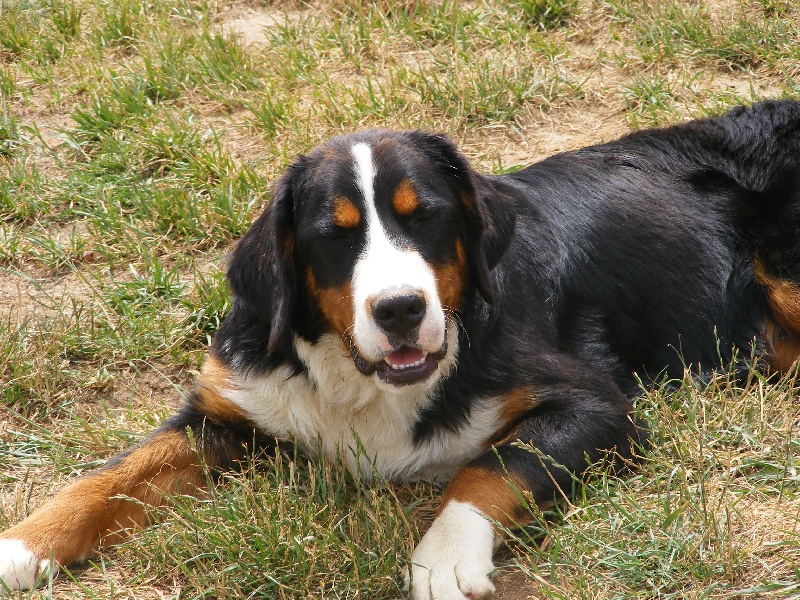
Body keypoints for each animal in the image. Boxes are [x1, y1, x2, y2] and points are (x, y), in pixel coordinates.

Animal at [4, 101, 800, 596]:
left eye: (428, 218)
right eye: (333, 234)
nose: (400, 309)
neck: (361, 384)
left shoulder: (595, 403)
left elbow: (491, 467)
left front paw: (444, 558)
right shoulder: (226, 409)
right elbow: (105, 479)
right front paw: (21, 545)